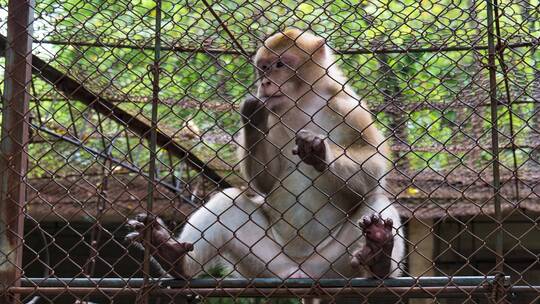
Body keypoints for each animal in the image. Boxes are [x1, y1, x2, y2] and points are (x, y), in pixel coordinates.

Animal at [126, 28, 402, 280]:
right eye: (264, 68)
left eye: (280, 65)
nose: (265, 83)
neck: (303, 100)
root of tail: (302, 271)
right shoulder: (274, 113)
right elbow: (266, 182)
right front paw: (253, 118)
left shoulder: (349, 108)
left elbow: (373, 164)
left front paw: (319, 152)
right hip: (265, 265)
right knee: (227, 201)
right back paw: (171, 255)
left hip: (335, 266)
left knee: (378, 201)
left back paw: (378, 255)